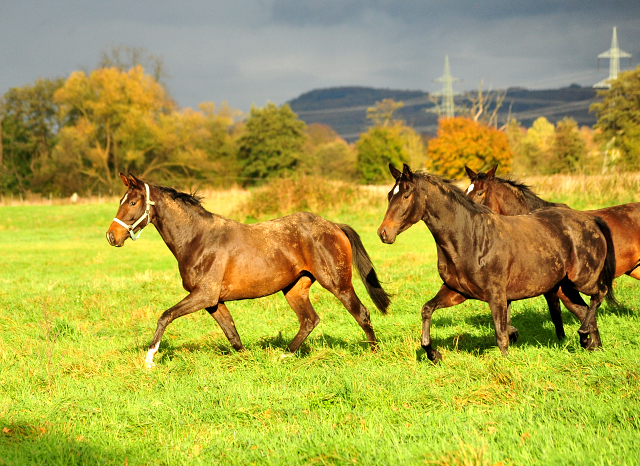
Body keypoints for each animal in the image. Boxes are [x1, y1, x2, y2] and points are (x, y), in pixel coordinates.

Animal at [106, 173, 390, 370]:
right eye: (120, 201)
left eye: (133, 201)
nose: (111, 236)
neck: (198, 239)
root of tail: (335, 226)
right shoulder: (214, 302)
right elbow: (232, 334)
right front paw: (246, 361)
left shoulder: (204, 295)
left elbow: (165, 316)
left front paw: (150, 359)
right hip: (294, 289)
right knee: (310, 320)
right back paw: (285, 355)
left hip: (337, 283)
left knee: (361, 313)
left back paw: (373, 353)